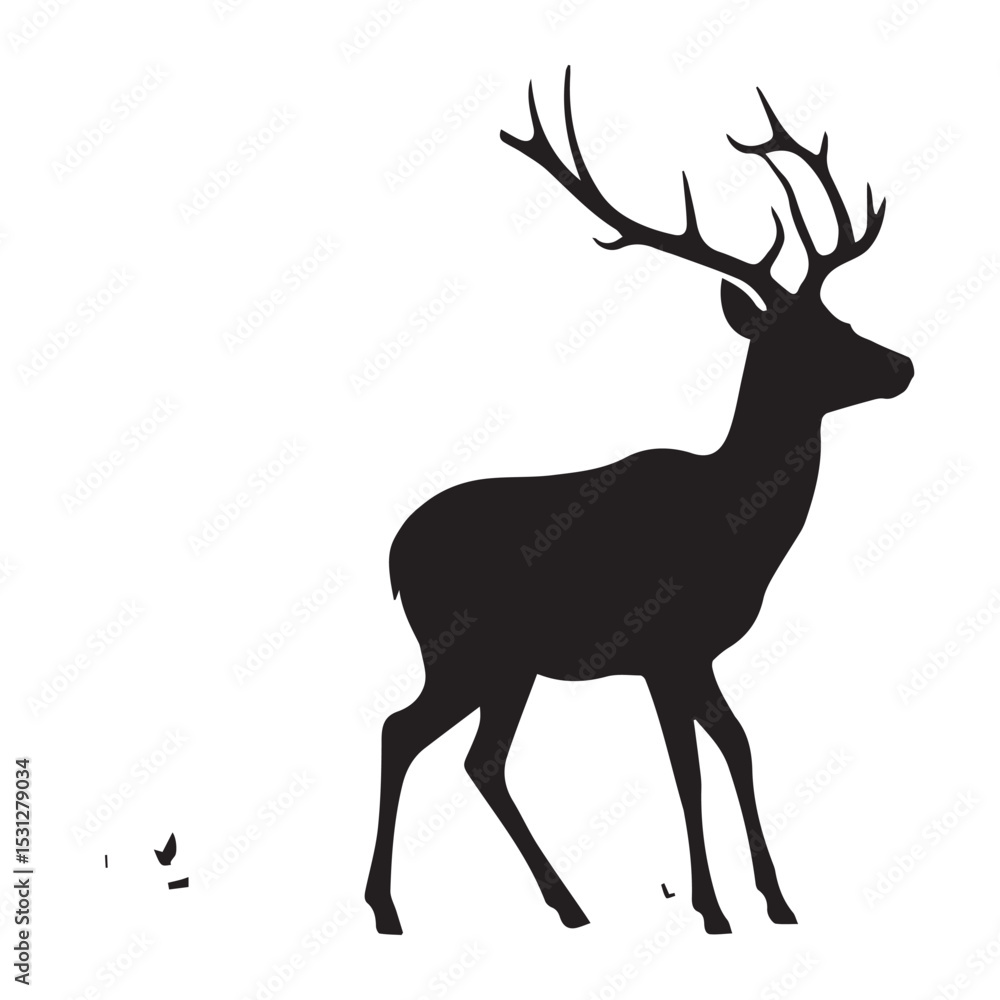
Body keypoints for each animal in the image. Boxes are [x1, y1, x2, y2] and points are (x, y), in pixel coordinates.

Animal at [365, 67, 913, 936]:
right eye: (806, 338)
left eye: (841, 316)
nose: (902, 365)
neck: (736, 528)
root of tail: (393, 554)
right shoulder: (662, 647)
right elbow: (686, 769)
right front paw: (712, 909)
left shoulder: (699, 654)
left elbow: (738, 746)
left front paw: (777, 899)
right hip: (465, 647)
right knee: (402, 731)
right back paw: (389, 906)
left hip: (505, 664)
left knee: (477, 757)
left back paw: (566, 903)